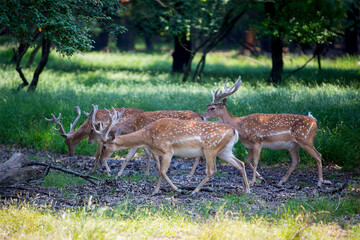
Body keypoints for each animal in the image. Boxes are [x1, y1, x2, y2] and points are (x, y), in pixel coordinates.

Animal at [93, 107, 250, 195]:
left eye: (104, 146)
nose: (101, 160)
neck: (147, 136)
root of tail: (234, 130)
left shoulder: (168, 150)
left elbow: (162, 171)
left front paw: (177, 189)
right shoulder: (159, 152)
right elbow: (159, 171)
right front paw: (155, 191)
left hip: (210, 148)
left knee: (212, 170)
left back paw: (194, 191)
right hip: (225, 151)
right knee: (240, 163)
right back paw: (247, 190)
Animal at [202, 77, 330, 188]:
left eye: (212, 108)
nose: (203, 116)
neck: (240, 125)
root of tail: (314, 121)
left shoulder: (257, 141)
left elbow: (255, 161)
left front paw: (253, 181)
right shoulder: (251, 145)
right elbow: (247, 161)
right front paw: (262, 178)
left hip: (306, 140)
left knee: (318, 155)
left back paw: (319, 182)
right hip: (294, 145)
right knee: (296, 160)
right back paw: (281, 181)